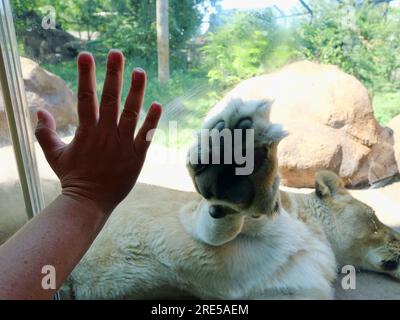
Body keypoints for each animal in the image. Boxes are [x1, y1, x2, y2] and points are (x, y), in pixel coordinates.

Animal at [53, 98, 400, 300]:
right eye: (375, 218)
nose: (398, 238)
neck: (322, 242)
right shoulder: (191, 215)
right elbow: (232, 220)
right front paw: (236, 166)